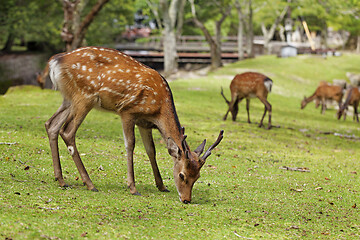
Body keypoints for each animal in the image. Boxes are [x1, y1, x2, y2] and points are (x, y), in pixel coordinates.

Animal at [44, 46, 225, 202]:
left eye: (198, 176)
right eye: (182, 175)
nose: (186, 199)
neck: (159, 108)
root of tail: (55, 61)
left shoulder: (144, 123)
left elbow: (151, 150)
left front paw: (161, 186)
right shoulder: (127, 111)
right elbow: (130, 145)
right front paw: (132, 187)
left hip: (69, 99)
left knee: (51, 124)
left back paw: (61, 180)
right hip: (84, 96)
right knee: (67, 131)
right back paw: (89, 183)